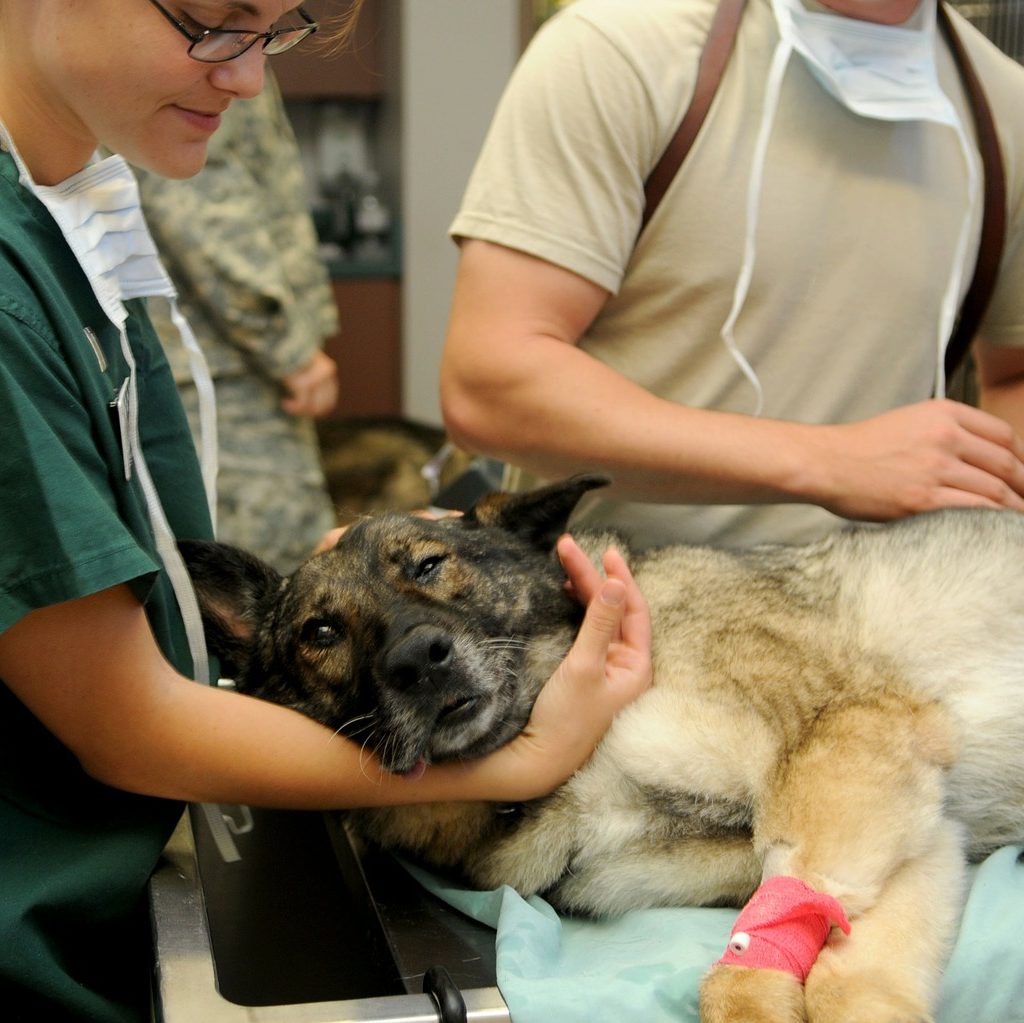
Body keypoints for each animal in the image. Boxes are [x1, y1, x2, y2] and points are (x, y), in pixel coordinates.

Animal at [182, 479, 1024, 1023]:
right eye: (320, 631)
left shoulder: (857, 742)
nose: (419, 658)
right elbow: (840, 966)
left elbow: (787, 955)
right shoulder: (909, 827)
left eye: (427, 564)